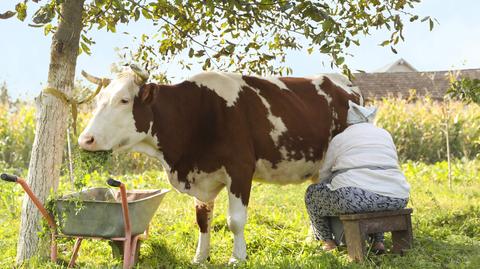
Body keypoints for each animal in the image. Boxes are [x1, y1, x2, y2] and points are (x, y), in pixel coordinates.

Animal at [79, 64, 362, 262]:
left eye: (124, 100)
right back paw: (312, 242)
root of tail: (343, 80)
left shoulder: (240, 171)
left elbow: (235, 220)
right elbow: (202, 220)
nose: (85, 139)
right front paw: (200, 257)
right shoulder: (201, 176)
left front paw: (238, 257)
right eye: (98, 101)